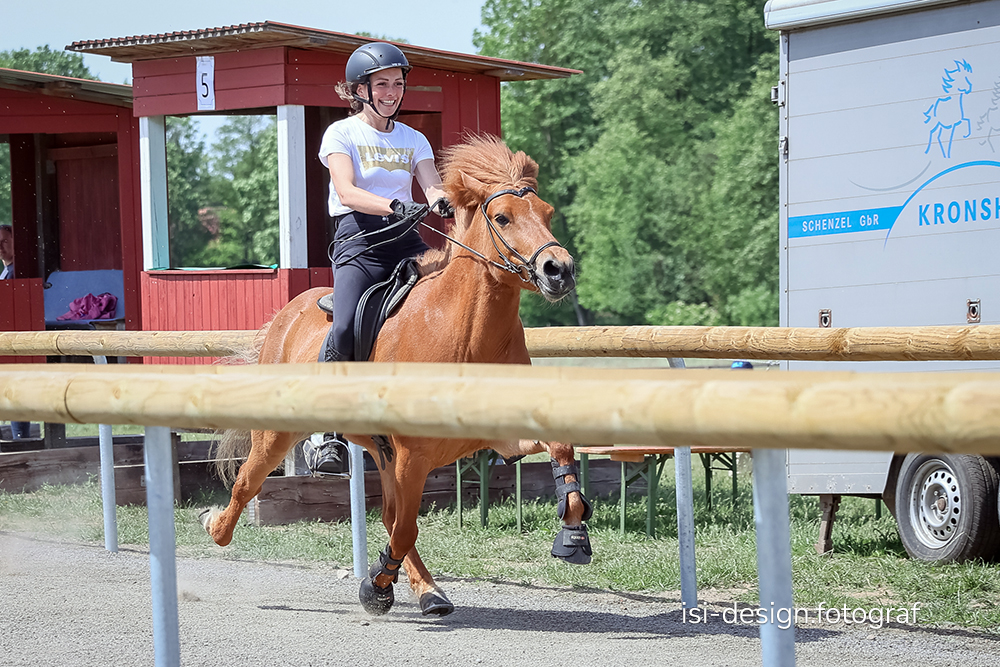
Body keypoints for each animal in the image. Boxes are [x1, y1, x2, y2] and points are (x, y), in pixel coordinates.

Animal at [204, 134, 592, 616]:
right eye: (503, 216)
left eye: (547, 212)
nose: (559, 269)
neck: (463, 334)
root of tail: (286, 315)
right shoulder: (412, 456)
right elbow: (404, 528)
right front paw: (375, 588)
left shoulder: (497, 436)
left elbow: (560, 446)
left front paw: (573, 533)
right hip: (280, 435)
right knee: (246, 483)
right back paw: (217, 526)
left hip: (383, 455)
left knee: (389, 516)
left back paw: (428, 592)